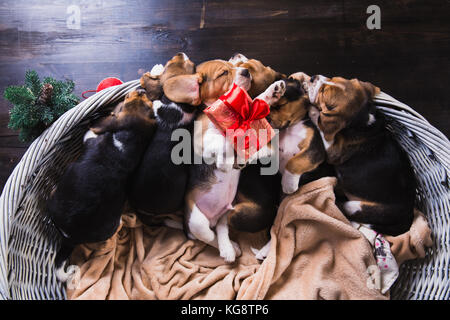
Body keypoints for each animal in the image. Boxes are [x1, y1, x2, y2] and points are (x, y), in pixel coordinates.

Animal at [47, 89, 156, 282]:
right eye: (147, 104)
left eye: (126, 98)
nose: (141, 90)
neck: (129, 140)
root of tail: (71, 238)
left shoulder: (90, 137)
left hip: (56, 197)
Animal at [300, 74, 416, 236]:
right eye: (333, 78)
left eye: (323, 93)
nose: (312, 77)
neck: (362, 119)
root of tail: (409, 217)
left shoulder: (332, 150)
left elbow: (321, 123)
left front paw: (313, 110)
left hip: (357, 206)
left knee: (342, 207)